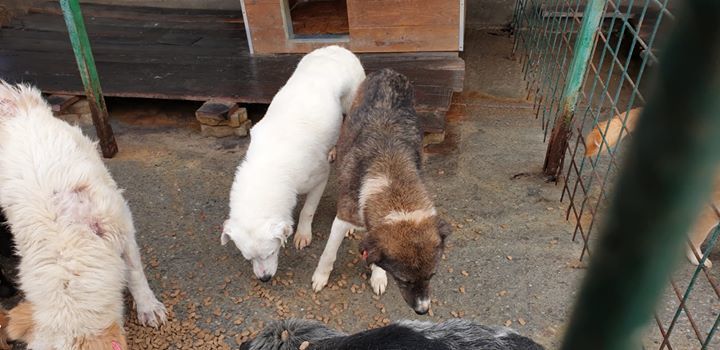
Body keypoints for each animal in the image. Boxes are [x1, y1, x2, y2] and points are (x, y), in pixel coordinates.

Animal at [221, 45, 366, 282]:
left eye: (271, 252)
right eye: (248, 258)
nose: (264, 279)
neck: (268, 168)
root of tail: (336, 47)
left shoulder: (320, 178)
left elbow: (308, 210)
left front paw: (303, 234)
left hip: (351, 103)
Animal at [310, 68, 450, 314]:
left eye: (432, 275)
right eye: (403, 280)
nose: (423, 310)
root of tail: (388, 71)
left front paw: (378, 276)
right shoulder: (342, 216)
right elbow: (329, 253)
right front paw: (321, 277)